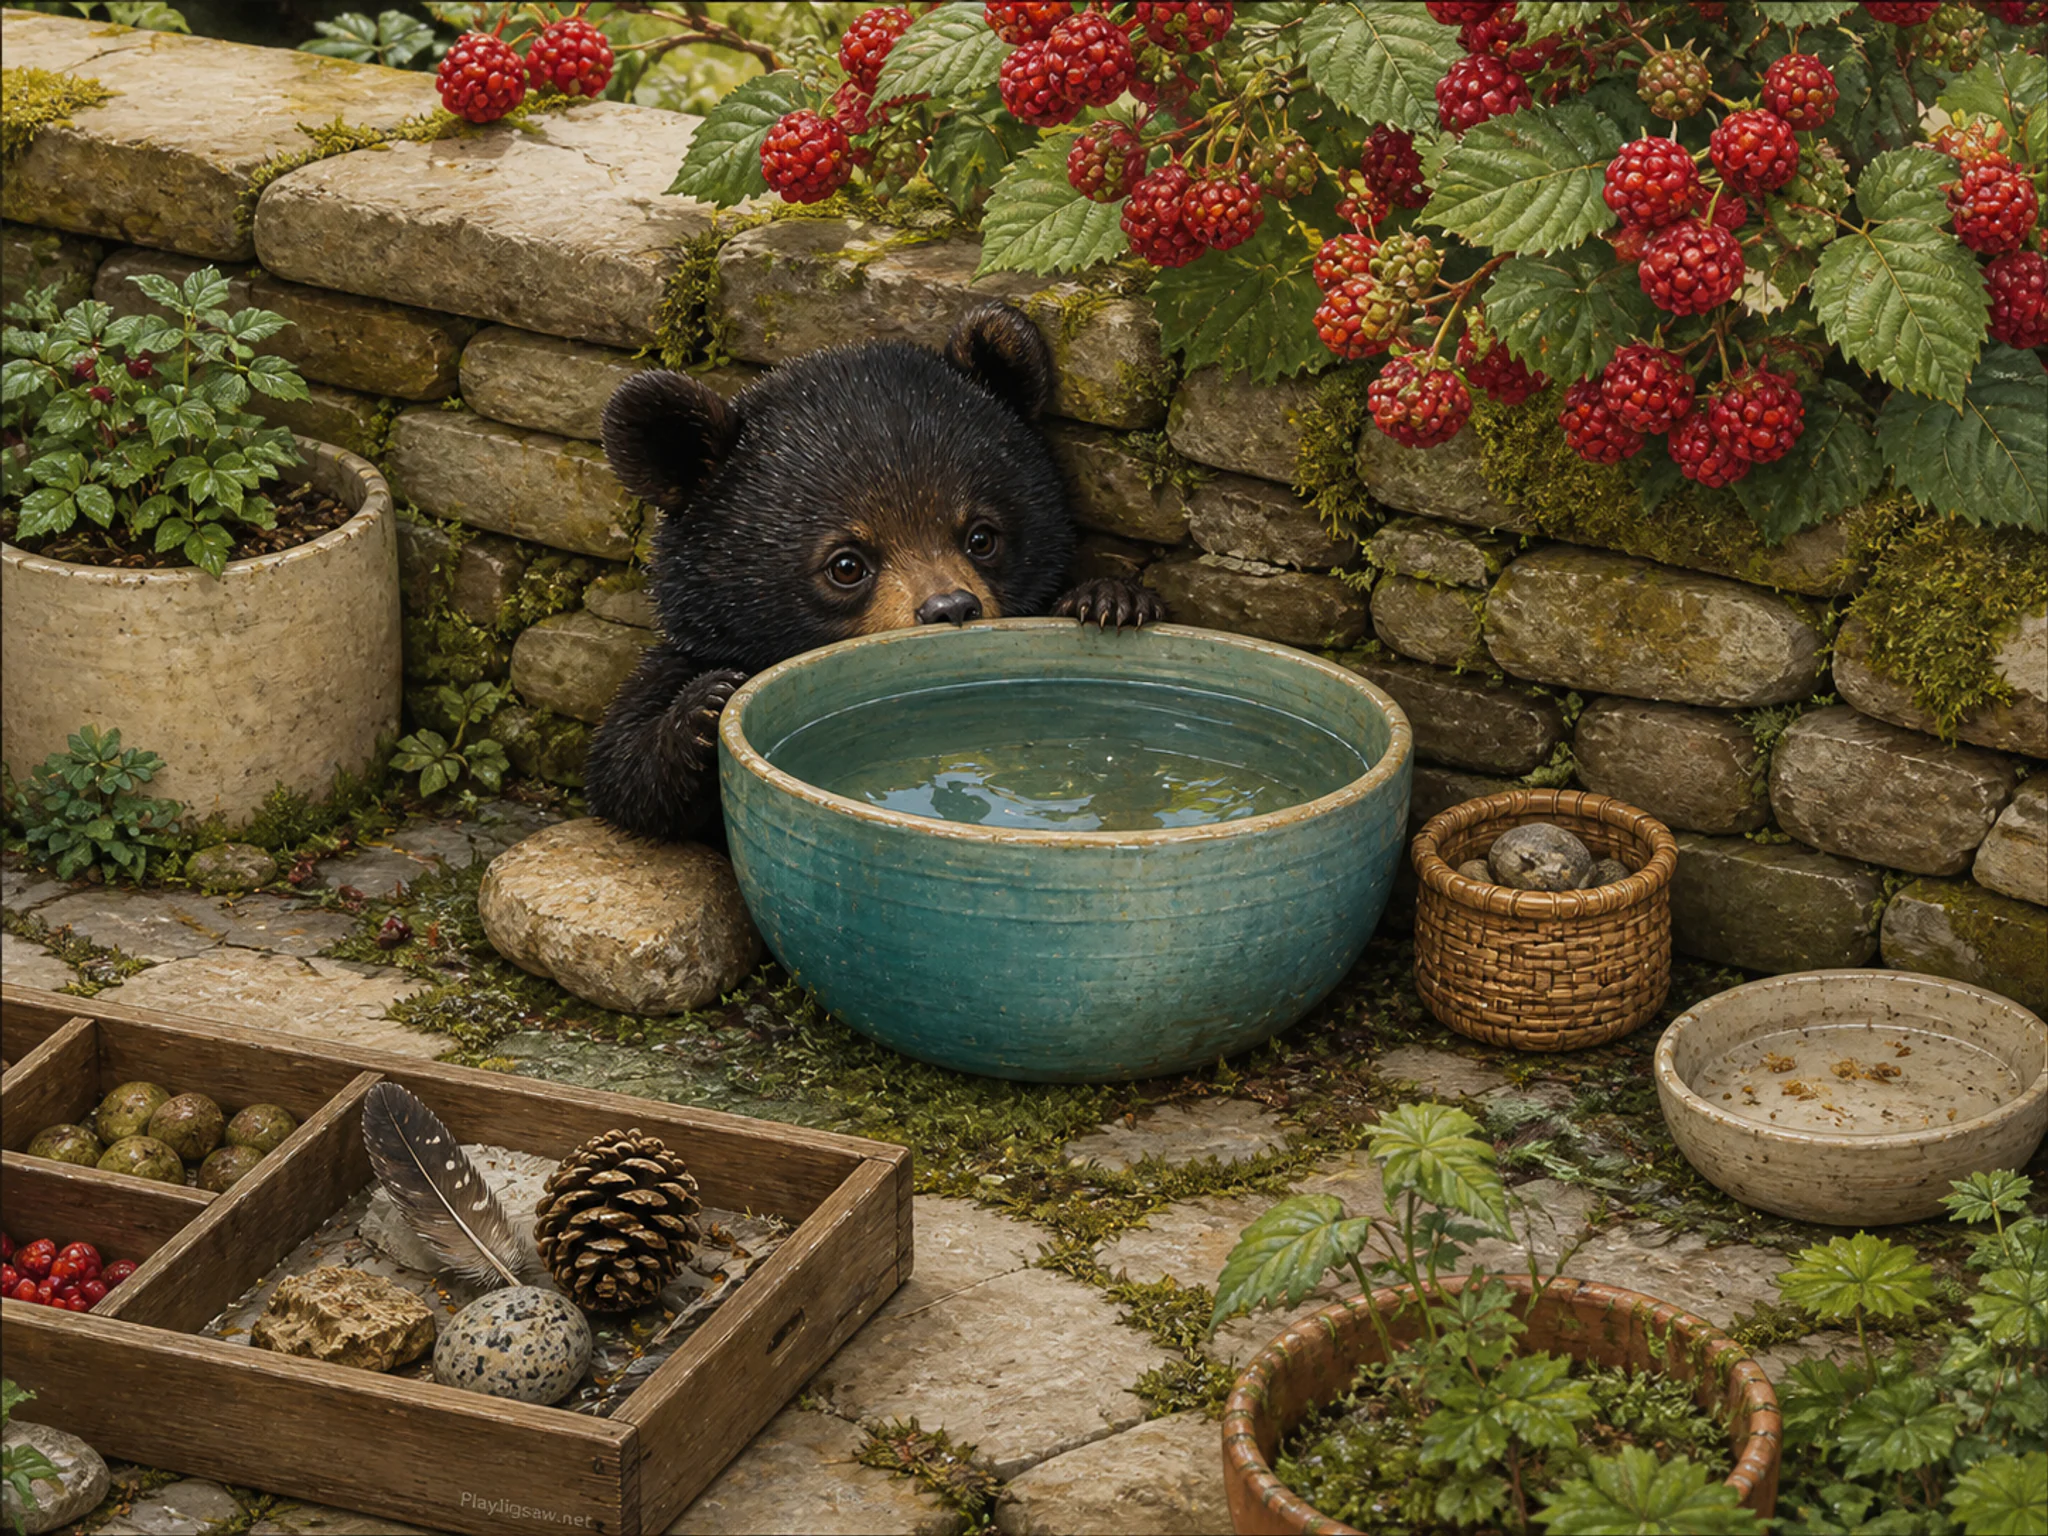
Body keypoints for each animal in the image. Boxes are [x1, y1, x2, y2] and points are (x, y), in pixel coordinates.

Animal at [584, 302, 1164, 844]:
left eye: (981, 537)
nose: (951, 607)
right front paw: (705, 707)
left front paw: (1110, 600)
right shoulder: (685, 653)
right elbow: (619, 767)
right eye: (846, 565)